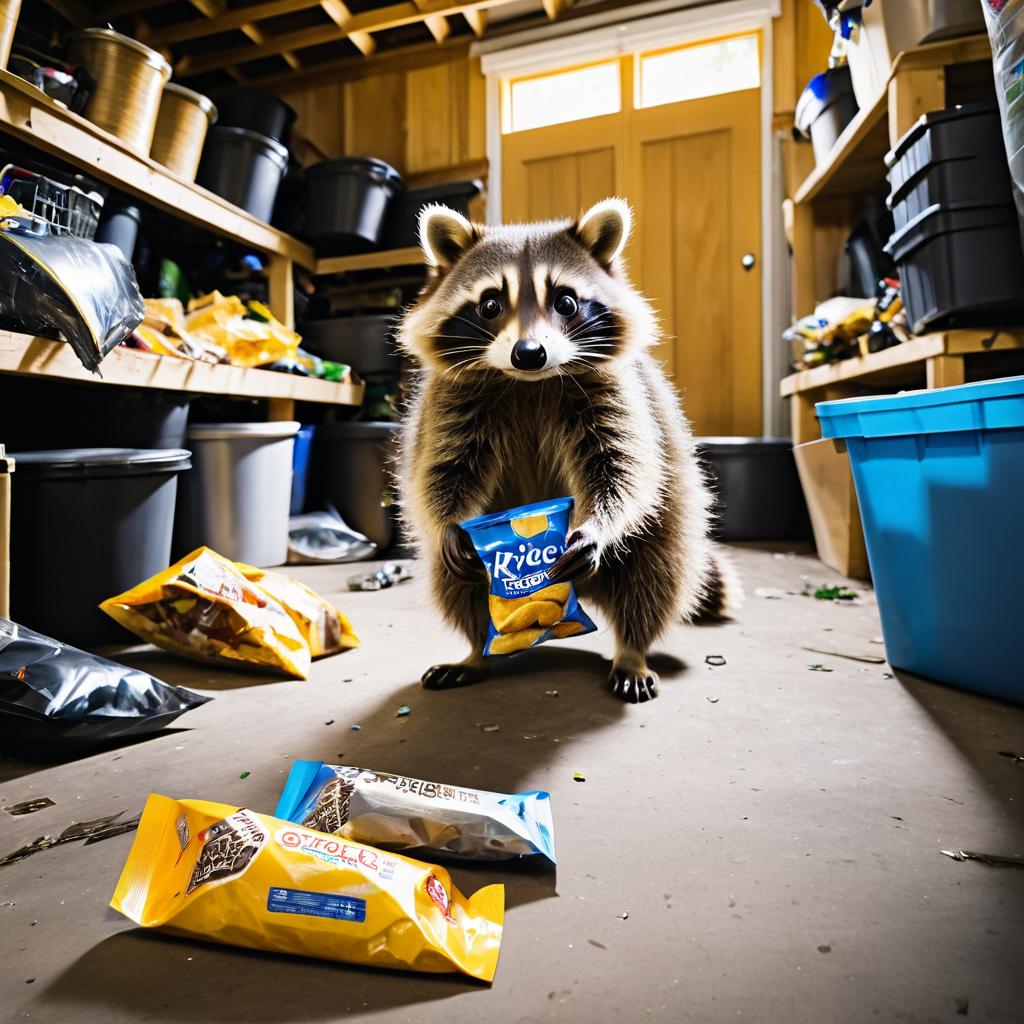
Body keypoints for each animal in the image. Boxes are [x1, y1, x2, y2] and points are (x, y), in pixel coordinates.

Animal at [393, 194, 737, 700]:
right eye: (490, 304)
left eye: (566, 301)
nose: (529, 353)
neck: (528, 382)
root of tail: (587, 592)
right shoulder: (448, 400)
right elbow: (442, 468)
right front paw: (448, 521)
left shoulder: (616, 391)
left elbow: (624, 466)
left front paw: (598, 524)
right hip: (463, 571)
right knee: (455, 585)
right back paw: (476, 651)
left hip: (669, 524)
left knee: (654, 578)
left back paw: (632, 649)